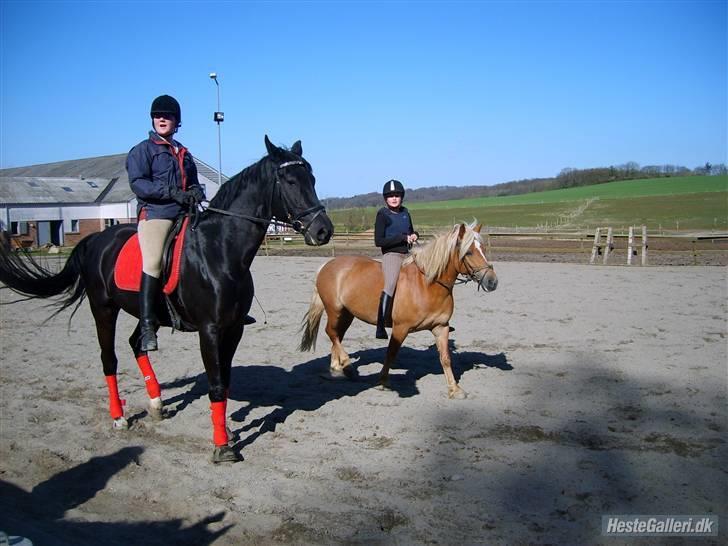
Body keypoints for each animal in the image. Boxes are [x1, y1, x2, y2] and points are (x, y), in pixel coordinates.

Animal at [0, 135, 334, 460]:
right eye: (289, 181)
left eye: (313, 178)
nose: (323, 230)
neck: (220, 251)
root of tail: (97, 239)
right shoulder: (209, 330)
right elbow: (215, 386)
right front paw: (221, 446)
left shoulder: (234, 328)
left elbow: (224, 382)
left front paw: (225, 431)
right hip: (104, 309)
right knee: (109, 359)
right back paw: (119, 417)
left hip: (151, 314)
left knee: (138, 344)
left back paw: (157, 404)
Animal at [298, 220, 498, 396]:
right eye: (469, 252)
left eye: (483, 249)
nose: (492, 282)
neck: (427, 286)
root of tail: (327, 265)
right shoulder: (400, 328)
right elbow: (391, 353)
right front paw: (382, 382)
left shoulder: (441, 327)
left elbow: (446, 359)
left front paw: (455, 389)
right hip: (335, 310)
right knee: (331, 332)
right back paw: (347, 366)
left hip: (347, 314)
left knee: (337, 335)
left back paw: (336, 368)